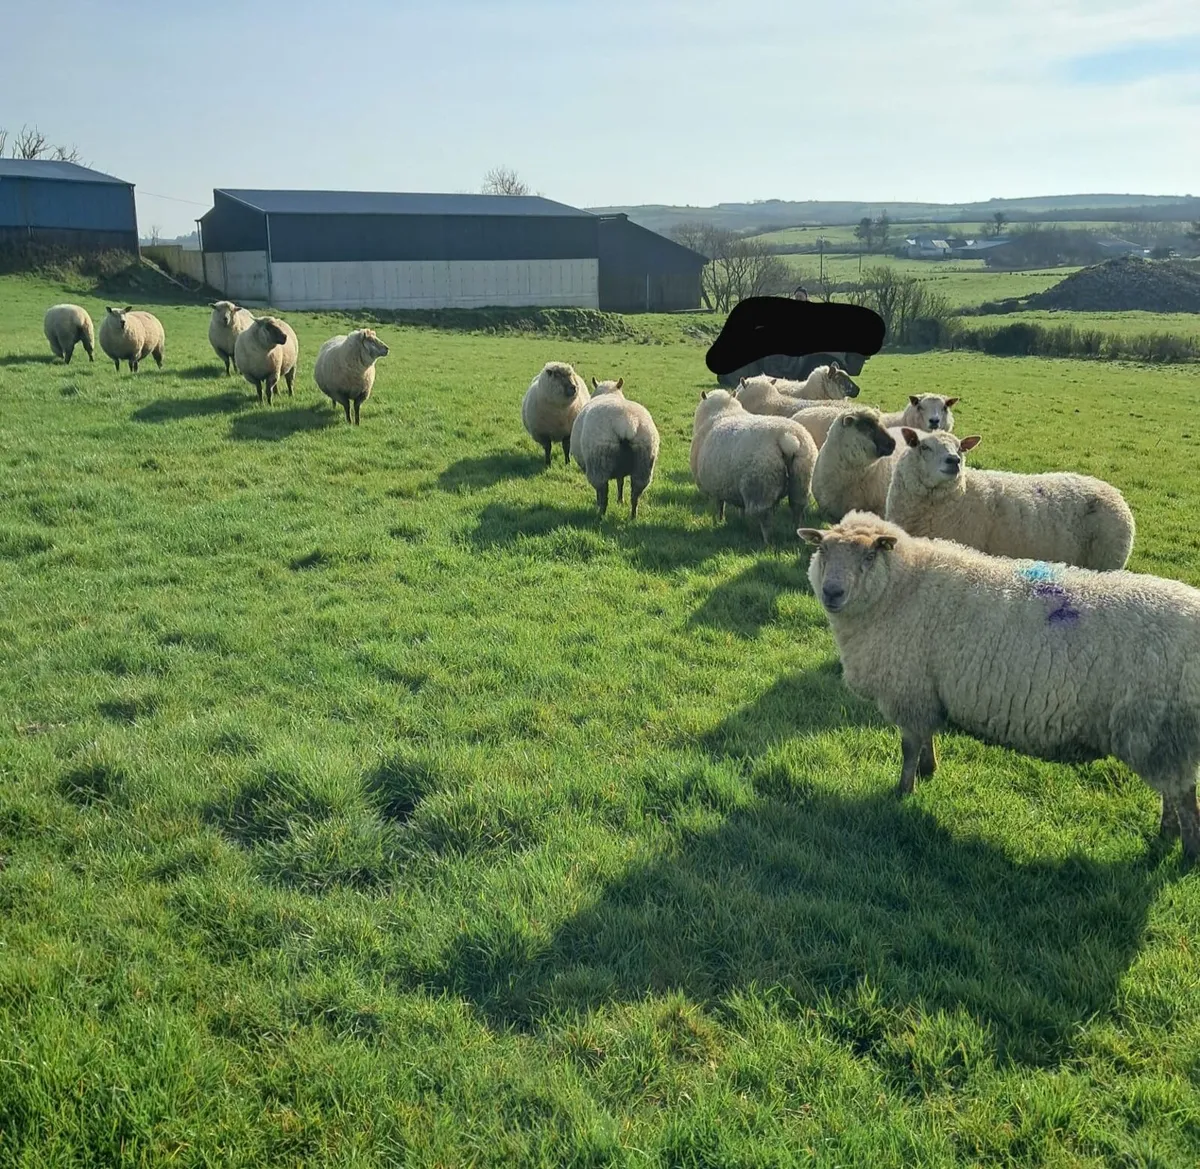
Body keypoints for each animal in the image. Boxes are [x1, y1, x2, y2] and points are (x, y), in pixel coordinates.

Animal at [569, 377, 661, 519]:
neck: (609, 393)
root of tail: (628, 421)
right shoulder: (621, 470)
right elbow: (620, 482)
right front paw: (620, 500)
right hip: (644, 464)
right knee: (635, 495)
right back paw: (633, 516)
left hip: (599, 463)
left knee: (603, 493)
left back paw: (600, 515)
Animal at [689, 388, 818, 546]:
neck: (723, 412)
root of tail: (788, 439)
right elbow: (739, 507)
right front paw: (740, 520)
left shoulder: (715, 488)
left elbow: (720, 506)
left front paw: (719, 521)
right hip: (801, 480)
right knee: (797, 509)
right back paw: (797, 535)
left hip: (760, 485)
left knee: (765, 517)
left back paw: (767, 542)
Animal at [798, 510, 1200, 864]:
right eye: (823, 551)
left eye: (869, 556)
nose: (832, 593)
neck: (901, 587)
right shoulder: (927, 691)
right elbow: (927, 737)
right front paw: (929, 771)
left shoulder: (908, 690)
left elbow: (909, 748)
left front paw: (903, 790)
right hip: (1166, 739)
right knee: (1173, 792)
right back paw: (1167, 836)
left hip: (1160, 729)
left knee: (1183, 796)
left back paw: (1187, 854)